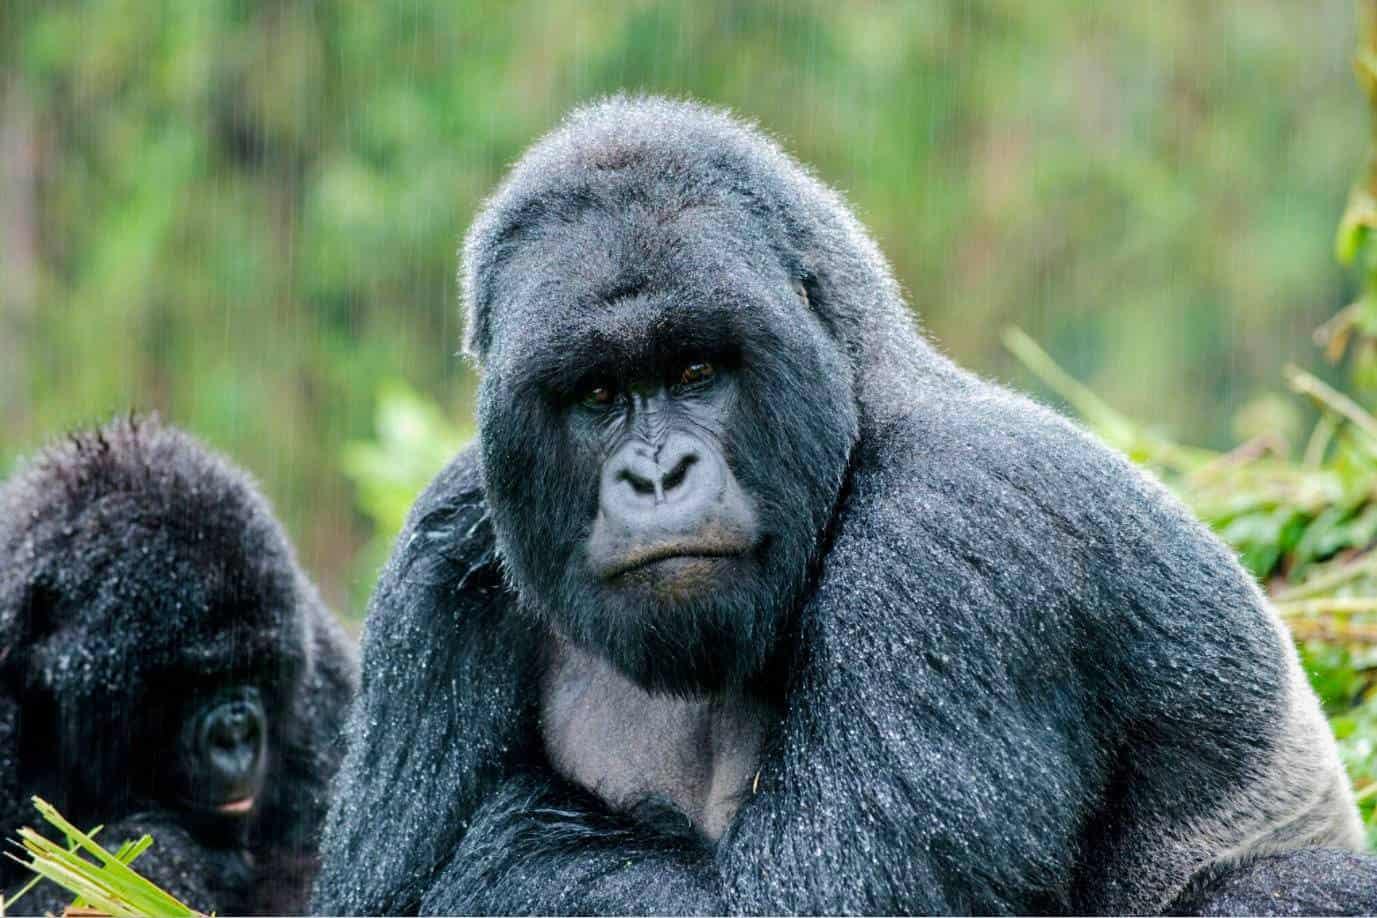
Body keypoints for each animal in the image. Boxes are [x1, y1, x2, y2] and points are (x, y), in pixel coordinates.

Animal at [312, 97, 1377, 913]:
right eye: (598, 396)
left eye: (696, 371)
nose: (656, 478)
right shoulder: (444, 554)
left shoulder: (952, 539)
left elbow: (788, 899)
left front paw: (506, 840)